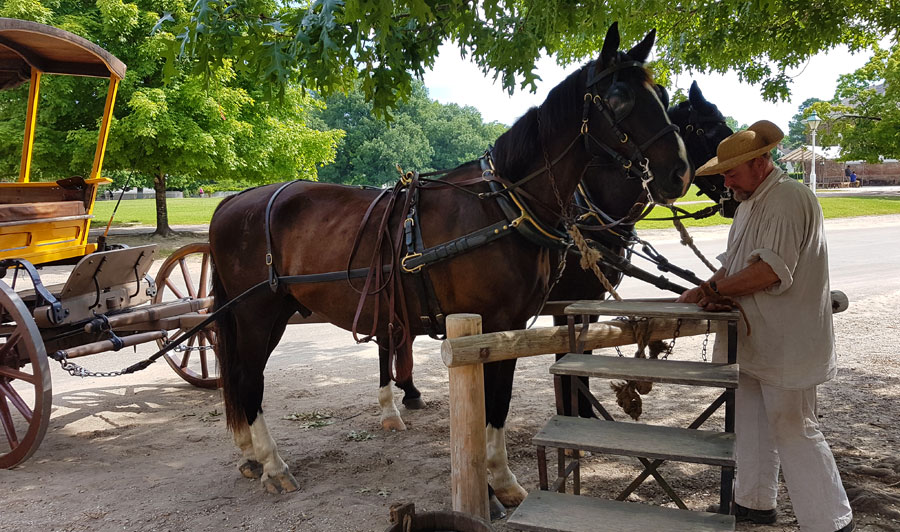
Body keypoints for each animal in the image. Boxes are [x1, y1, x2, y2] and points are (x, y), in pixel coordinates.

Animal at [209, 23, 688, 502]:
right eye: (620, 97)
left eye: (664, 95)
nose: (679, 172)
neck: (502, 207)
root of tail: (233, 200)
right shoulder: (494, 323)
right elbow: (495, 401)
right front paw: (499, 480)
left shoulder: (512, 324)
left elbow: (501, 397)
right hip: (255, 315)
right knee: (249, 380)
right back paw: (273, 465)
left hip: (272, 313)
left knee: (241, 377)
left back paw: (250, 455)